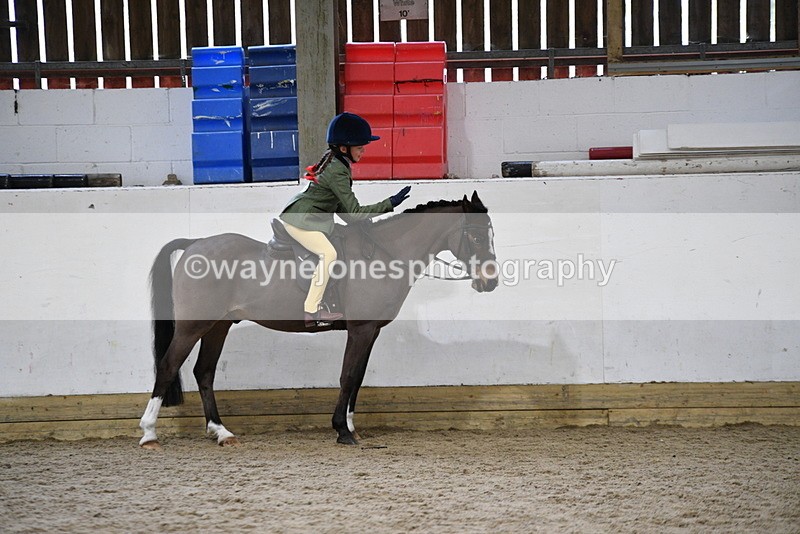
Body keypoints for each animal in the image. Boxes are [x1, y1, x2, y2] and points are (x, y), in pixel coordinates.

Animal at [138, 191, 498, 448]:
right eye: (477, 238)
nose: (490, 281)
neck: (385, 255)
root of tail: (195, 244)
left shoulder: (370, 332)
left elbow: (357, 378)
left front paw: (351, 426)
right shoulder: (361, 330)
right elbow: (347, 376)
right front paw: (343, 431)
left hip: (218, 326)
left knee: (204, 372)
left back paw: (222, 432)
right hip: (193, 326)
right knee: (168, 366)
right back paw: (149, 433)